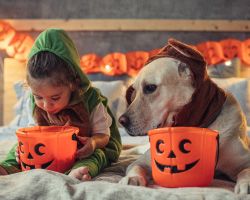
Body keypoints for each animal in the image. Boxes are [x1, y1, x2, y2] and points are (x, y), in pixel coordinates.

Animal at [118, 38, 250, 195]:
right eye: (134, 93)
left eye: (150, 88)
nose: (121, 121)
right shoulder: (142, 161)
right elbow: (136, 167)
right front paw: (132, 179)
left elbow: (245, 171)